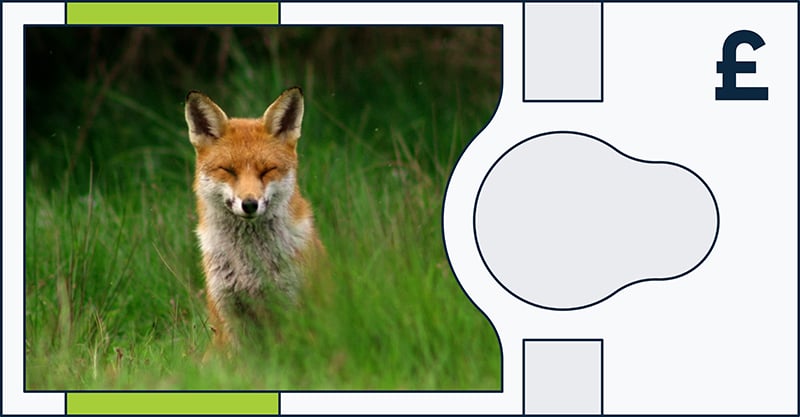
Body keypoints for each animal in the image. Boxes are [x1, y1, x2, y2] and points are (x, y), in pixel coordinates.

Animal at [184, 87, 323, 350]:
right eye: (228, 170)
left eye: (267, 170)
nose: (249, 204)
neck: (248, 264)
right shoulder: (228, 313)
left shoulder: (290, 305)